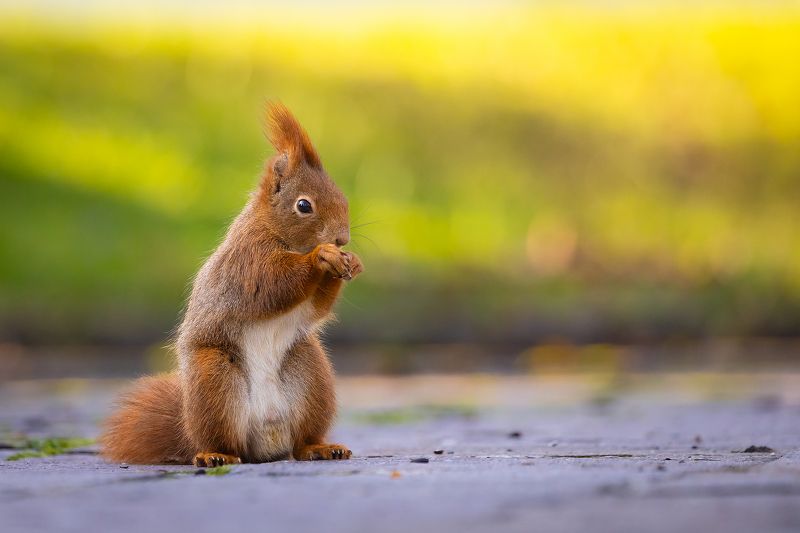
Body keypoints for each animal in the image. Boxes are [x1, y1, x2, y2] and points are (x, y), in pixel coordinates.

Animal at [100, 103, 363, 465]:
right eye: (303, 205)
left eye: (343, 197)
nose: (341, 239)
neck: (275, 231)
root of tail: (266, 442)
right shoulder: (247, 262)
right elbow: (273, 285)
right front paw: (321, 257)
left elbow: (316, 308)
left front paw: (351, 262)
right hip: (214, 377)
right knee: (224, 440)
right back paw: (215, 455)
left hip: (310, 371)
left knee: (300, 443)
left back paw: (320, 447)